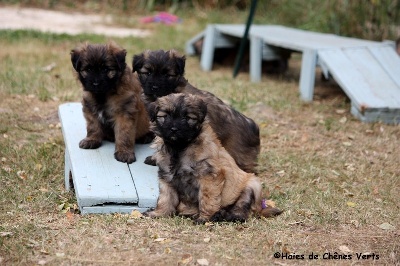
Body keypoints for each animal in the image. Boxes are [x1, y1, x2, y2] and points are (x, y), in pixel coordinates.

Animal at [144, 94, 282, 223]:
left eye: (188, 118)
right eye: (165, 116)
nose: (174, 129)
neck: (179, 148)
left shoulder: (209, 177)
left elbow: (207, 199)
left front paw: (204, 218)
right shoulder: (166, 177)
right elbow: (165, 198)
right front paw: (159, 213)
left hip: (253, 185)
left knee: (242, 207)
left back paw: (231, 216)